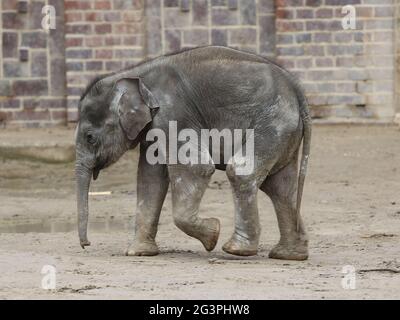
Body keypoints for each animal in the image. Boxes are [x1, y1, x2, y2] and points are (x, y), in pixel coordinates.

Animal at [76, 45, 312, 260]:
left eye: (90, 137)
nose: (86, 245)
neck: (135, 74)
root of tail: (297, 90)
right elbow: (149, 179)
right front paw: (137, 253)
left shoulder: (174, 114)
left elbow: (196, 167)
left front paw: (213, 234)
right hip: (284, 133)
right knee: (280, 188)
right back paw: (289, 255)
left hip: (273, 122)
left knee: (243, 172)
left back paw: (236, 250)